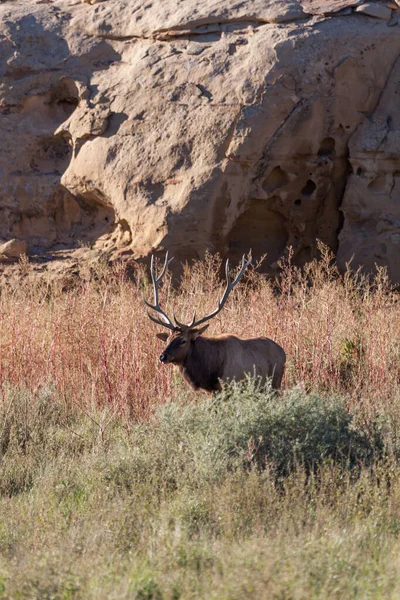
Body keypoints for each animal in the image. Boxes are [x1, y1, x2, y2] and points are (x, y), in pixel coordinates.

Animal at [145, 252, 286, 390]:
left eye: (183, 341)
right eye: (168, 339)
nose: (162, 356)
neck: (210, 375)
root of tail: (284, 353)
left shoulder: (231, 384)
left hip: (275, 382)